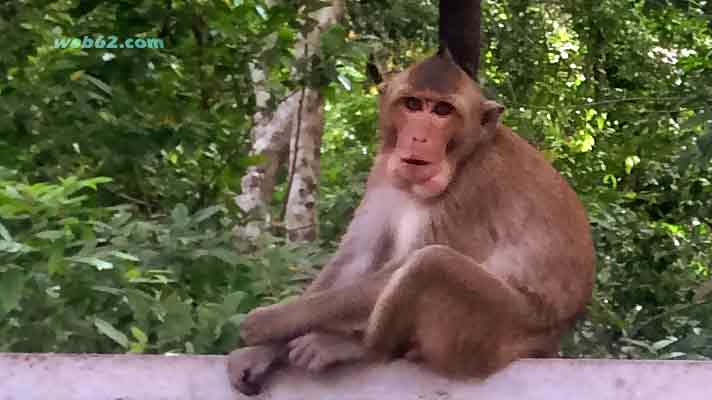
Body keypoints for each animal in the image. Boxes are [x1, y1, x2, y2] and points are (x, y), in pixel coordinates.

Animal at [228, 47, 596, 394]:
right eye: (413, 104)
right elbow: (356, 260)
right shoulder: (382, 170)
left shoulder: (476, 188)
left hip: (498, 332)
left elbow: (400, 266)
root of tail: (548, 342)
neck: (465, 156)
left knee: (430, 264)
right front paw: (260, 352)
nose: (419, 137)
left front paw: (267, 323)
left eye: (443, 111)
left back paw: (358, 348)